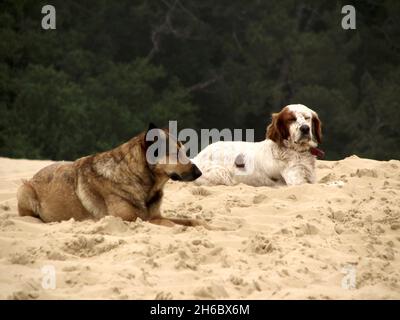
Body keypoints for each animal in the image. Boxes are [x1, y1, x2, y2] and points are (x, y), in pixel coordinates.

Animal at [16, 123, 206, 228]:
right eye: (175, 153)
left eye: (184, 151)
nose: (199, 172)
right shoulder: (130, 220)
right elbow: (170, 224)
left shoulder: (155, 216)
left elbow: (189, 220)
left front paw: (205, 225)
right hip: (24, 189)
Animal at [192, 104, 324, 186]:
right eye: (291, 119)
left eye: (307, 118)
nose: (305, 128)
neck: (296, 151)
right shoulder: (297, 181)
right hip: (221, 174)